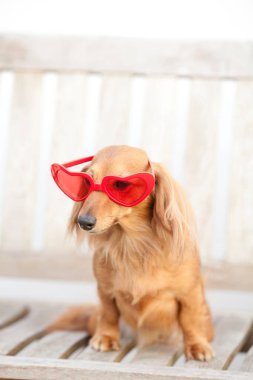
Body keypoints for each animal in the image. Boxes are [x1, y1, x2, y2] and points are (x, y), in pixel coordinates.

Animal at [48, 145, 214, 362]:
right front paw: (106, 337)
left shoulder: (190, 293)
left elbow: (190, 320)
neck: (133, 244)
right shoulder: (105, 290)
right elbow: (109, 313)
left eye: (120, 185)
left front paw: (196, 346)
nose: (83, 222)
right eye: (86, 182)